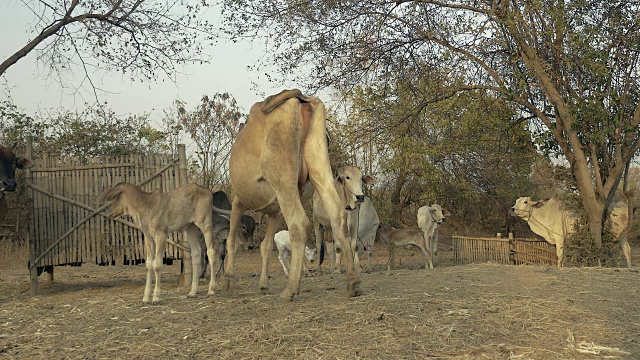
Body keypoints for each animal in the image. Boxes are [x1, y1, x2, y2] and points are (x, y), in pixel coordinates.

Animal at [219, 88, 360, 300]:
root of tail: (299, 98)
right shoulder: (275, 210)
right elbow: (265, 246)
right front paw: (263, 284)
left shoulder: (238, 201)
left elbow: (231, 242)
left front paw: (227, 281)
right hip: (320, 168)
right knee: (338, 216)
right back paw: (353, 283)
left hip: (284, 182)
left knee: (299, 223)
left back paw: (290, 289)